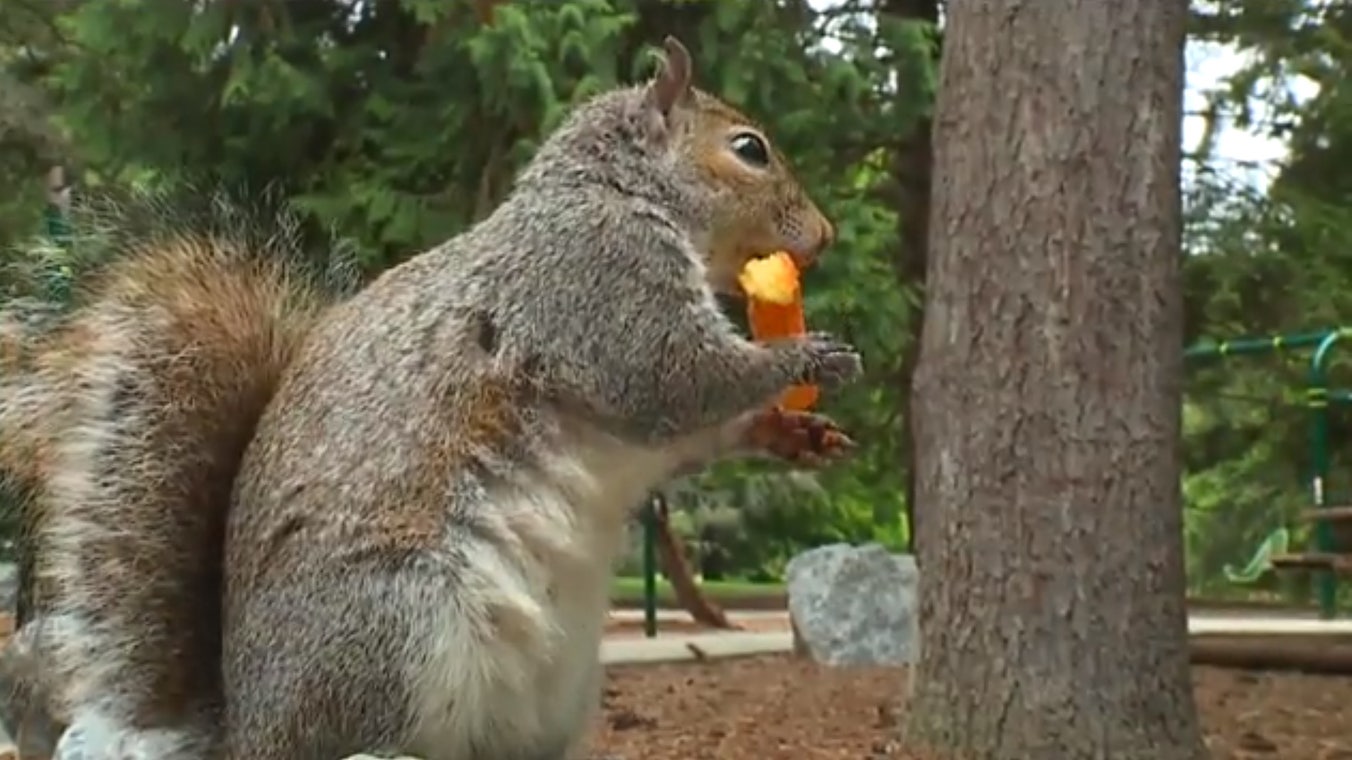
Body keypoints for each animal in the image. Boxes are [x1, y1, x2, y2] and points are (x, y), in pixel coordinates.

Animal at [0, 35, 859, 757]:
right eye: (749, 149)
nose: (824, 236)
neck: (616, 191)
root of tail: (250, 733)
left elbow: (690, 432)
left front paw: (795, 434)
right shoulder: (596, 284)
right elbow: (674, 379)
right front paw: (806, 353)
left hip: (553, 686)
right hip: (399, 624)